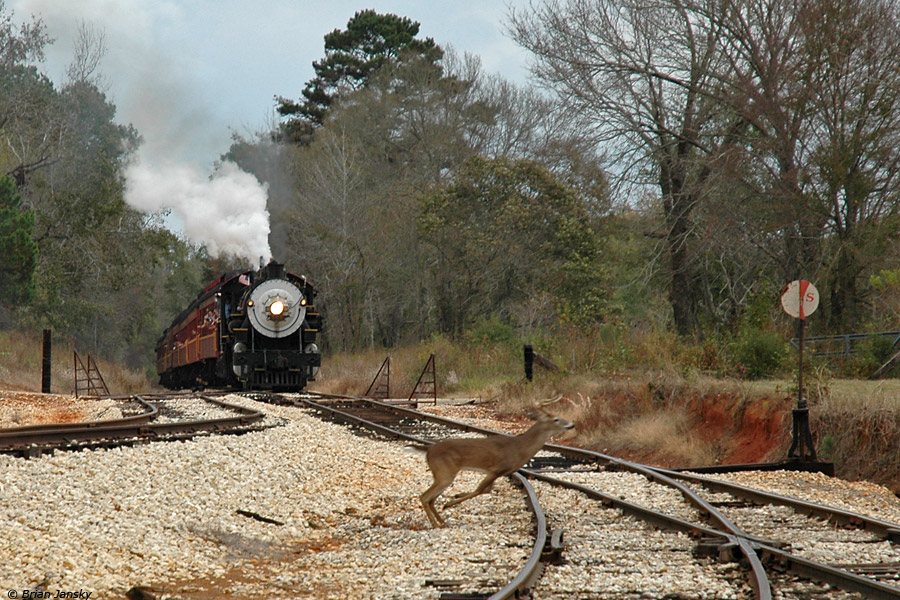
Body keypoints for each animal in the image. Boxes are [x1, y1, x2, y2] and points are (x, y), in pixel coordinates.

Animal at [404, 399, 575, 528]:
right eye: (556, 419)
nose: (571, 424)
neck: (519, 449)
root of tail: (429, 449)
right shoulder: (496, 469)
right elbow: (480, 489)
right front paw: (450, 502)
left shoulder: (497, 472)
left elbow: (486, 490)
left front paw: (454, 497)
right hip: (444, 472)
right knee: (425, 497)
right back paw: (435, 523)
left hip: (442, 474)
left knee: (431, 498)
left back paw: (442, 521)